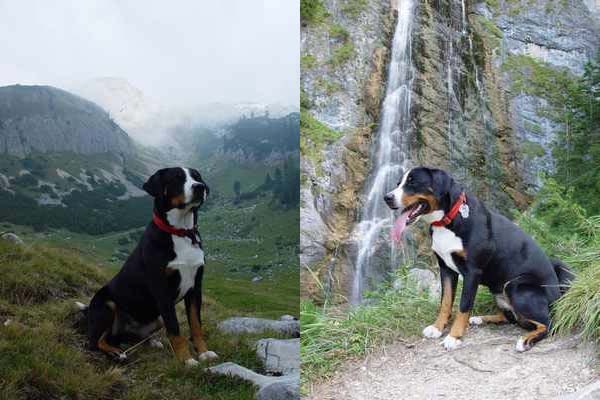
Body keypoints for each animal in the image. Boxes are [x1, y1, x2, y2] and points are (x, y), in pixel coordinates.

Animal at [77, 167, 217, 368]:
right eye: (177, 178)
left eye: (197, 177)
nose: (200, 187)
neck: (180, 232)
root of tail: (88, 310)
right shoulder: (162, 290)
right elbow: (175, 330)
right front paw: (186, 360)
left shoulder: (195, 288)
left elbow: (196, 325)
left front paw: (204, 353)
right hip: (107, 304)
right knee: (96, 341)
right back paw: (117, 354)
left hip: (156, 319)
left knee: (121, 337)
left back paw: (151, 343)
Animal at [382, 166, 576, 354]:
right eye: (398, 183)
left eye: (412, 182)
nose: (386, 198)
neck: (447, 221)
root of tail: (557, 295)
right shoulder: (446, 269)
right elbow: (445, 302)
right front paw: (437, 328)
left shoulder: (472, 272)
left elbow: (463, 306)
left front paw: (454, 337)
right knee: (511, 317)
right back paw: (480, 319)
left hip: (515, 286)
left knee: (548, 324)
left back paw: (525, 340)